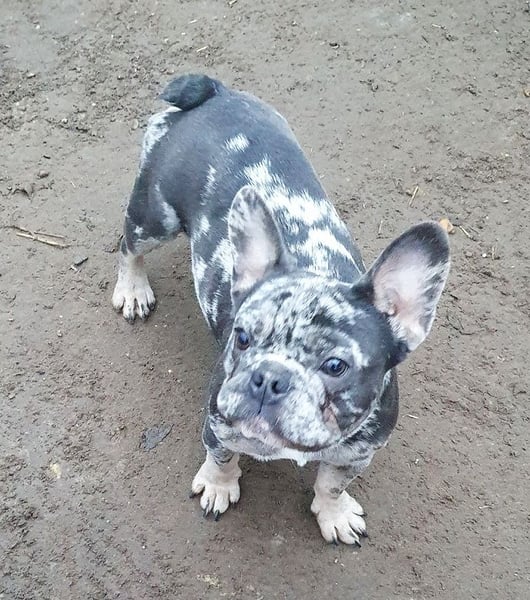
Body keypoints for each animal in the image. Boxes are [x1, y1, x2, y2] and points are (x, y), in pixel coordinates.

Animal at [112, 74, 450, 545]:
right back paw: (133, 288)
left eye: (335, 366)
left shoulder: (358, 453)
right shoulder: (218, 420)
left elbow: (332, 482)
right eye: (241, 338)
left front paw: (333, 512)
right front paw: (219, 486)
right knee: (129, 245)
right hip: (154, 216)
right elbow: (220, 457)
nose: (268, 378)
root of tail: (215, 94)